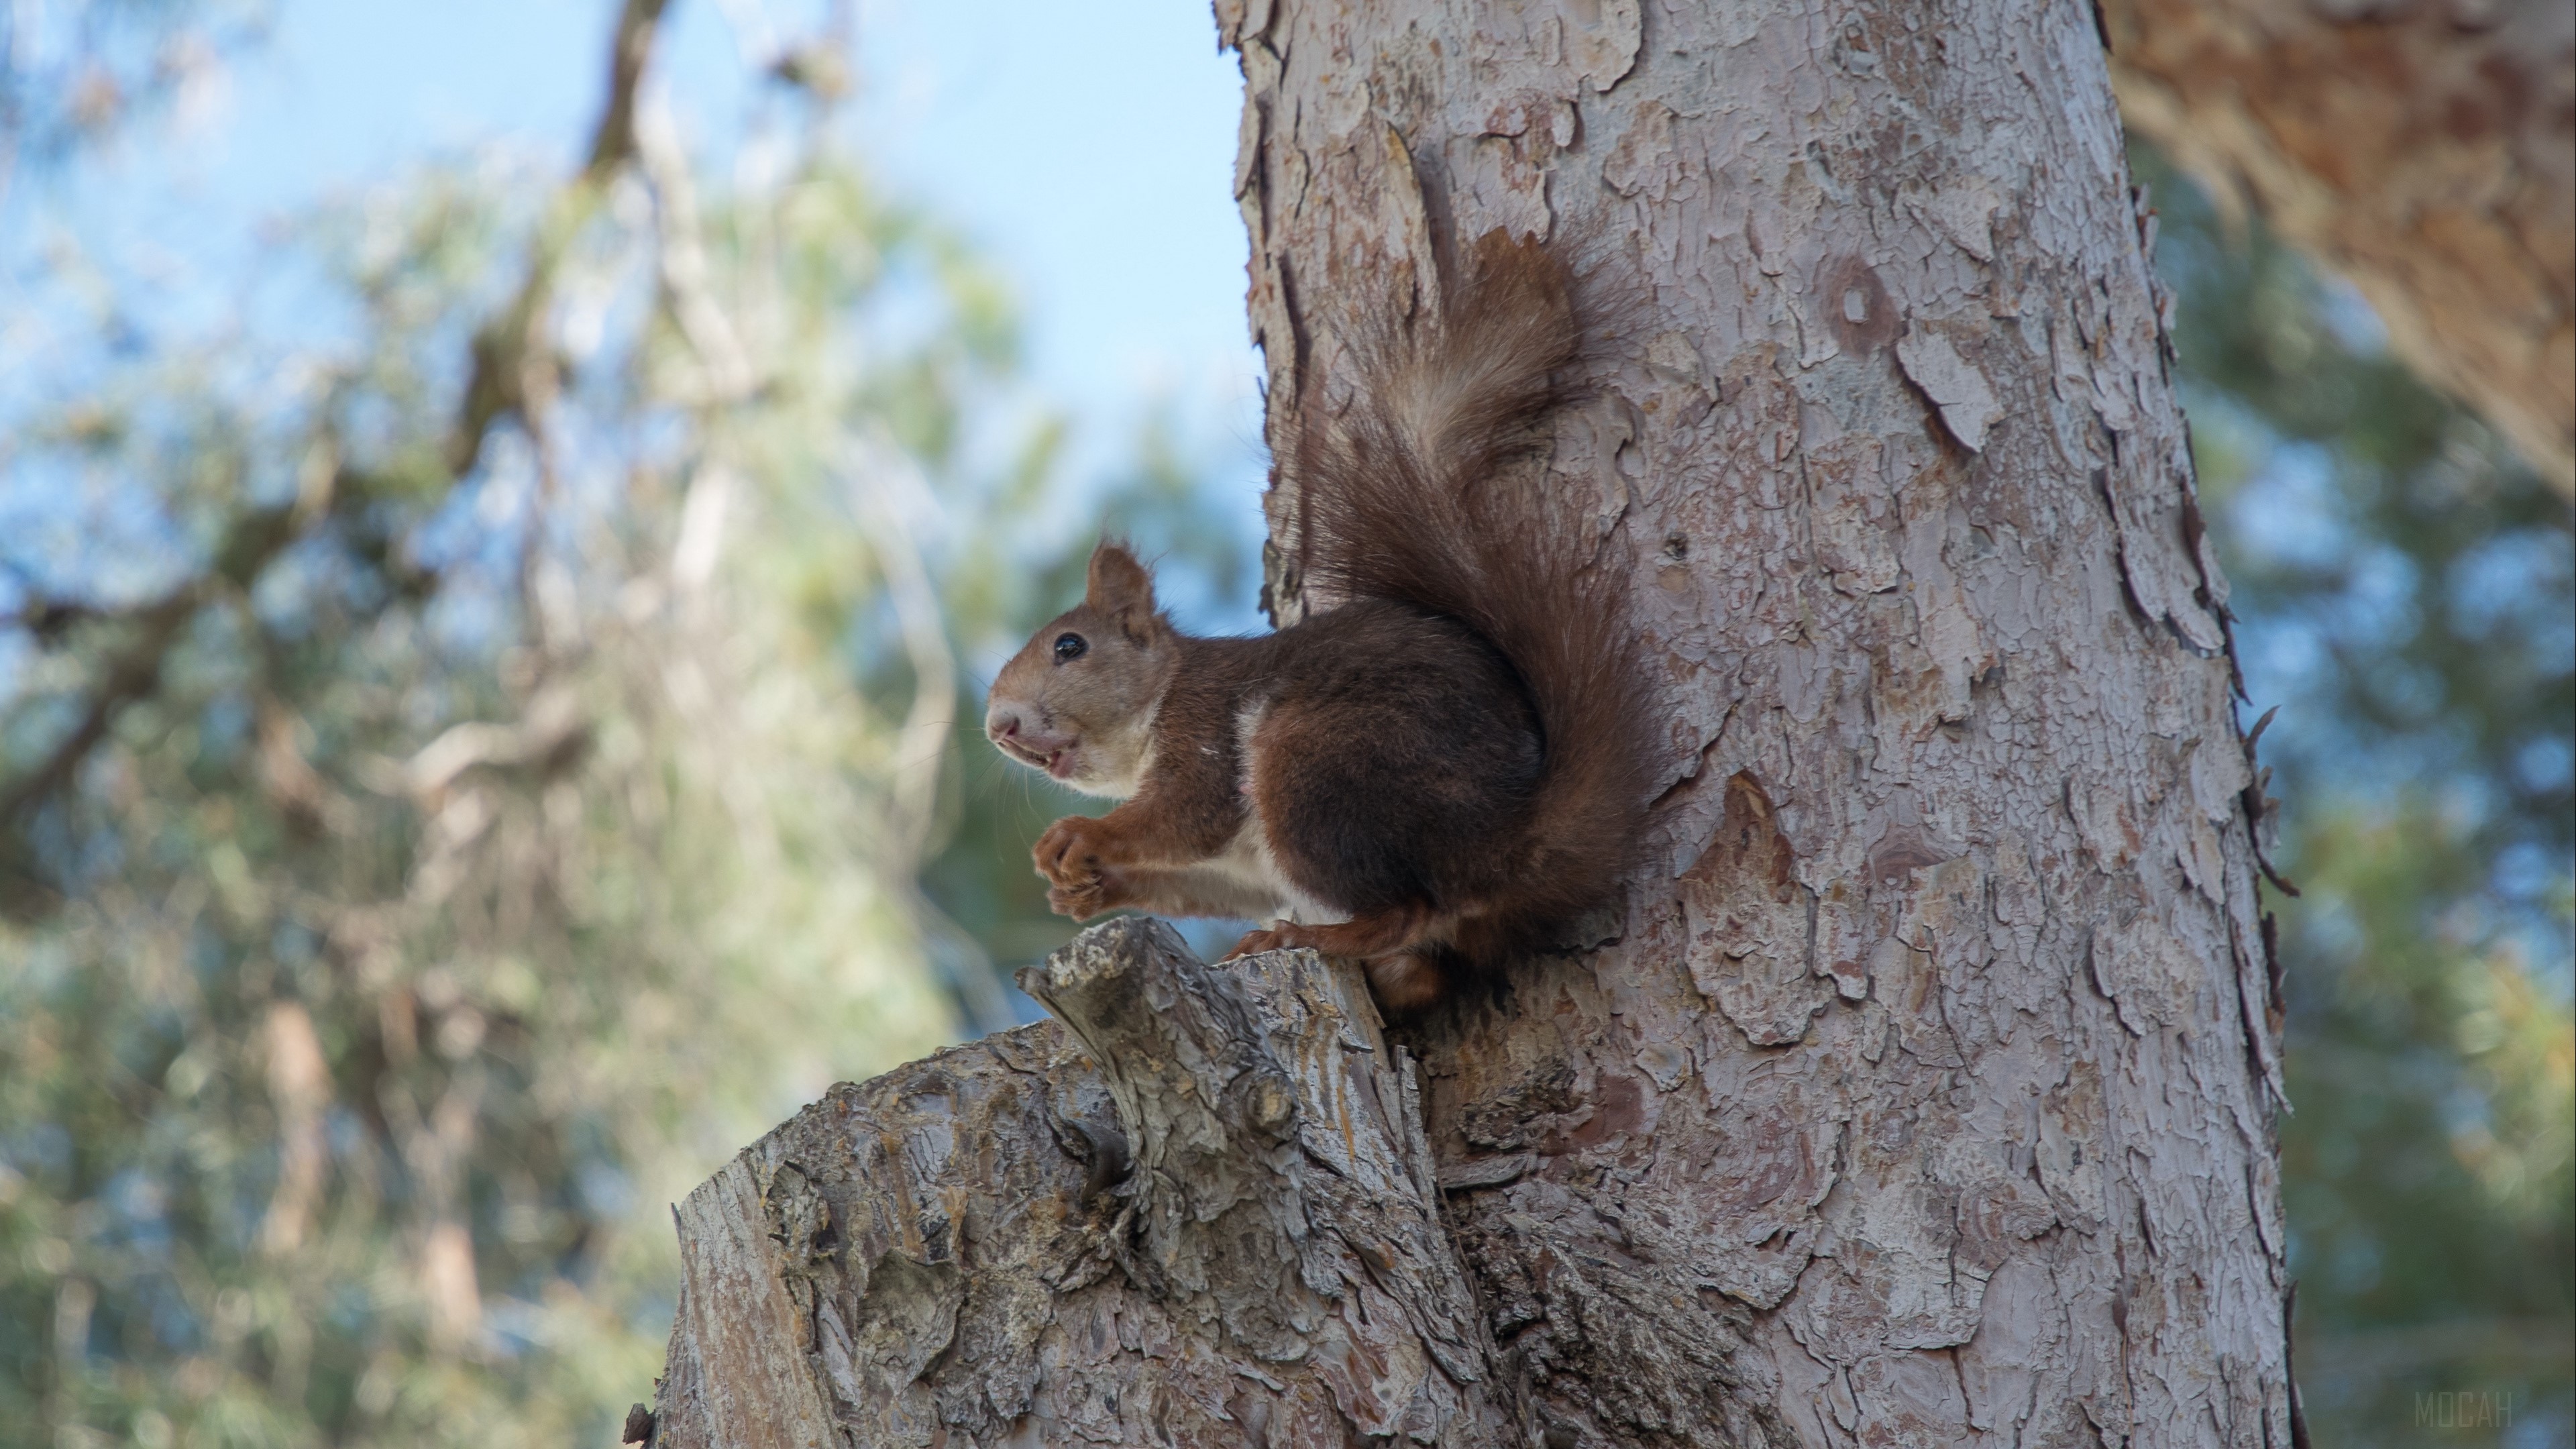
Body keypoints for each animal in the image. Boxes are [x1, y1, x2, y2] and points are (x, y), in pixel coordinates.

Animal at [982, 231, 1653, 1011]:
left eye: (1069, 646)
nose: (998, 726)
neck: (1161, 699)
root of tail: (1503, 842)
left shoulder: (1204, 731)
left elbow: (1182, 813)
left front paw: (1078, 836)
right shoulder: (1242, 866)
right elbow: (1202, 878)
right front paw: (1087, 890)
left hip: (1315, 766)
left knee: (1407, 908)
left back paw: (1303, 937)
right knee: (1426, 954)